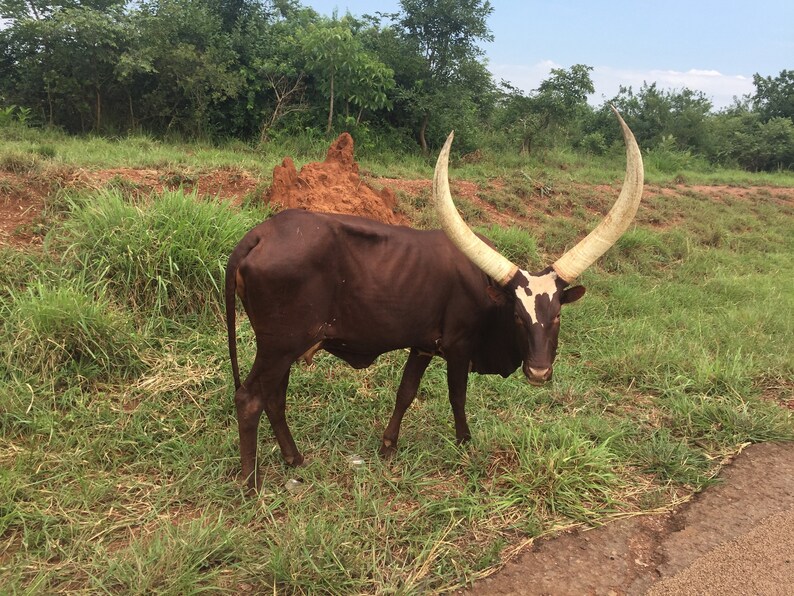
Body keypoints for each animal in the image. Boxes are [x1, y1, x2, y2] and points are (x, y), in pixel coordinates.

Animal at [225, 107, 644, 491]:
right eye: (518, 316)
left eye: (556, 315)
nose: (539, 373)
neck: (485, 293)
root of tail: (261, 233)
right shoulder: (458, 348)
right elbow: (457, 396)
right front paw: (464, 443)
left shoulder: (423, 345)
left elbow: (405, 393)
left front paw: (388, 446)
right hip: (280, 345)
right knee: (250, 399)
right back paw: (250, 482)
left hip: (284, 348)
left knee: (274, 398)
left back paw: (294, 459)